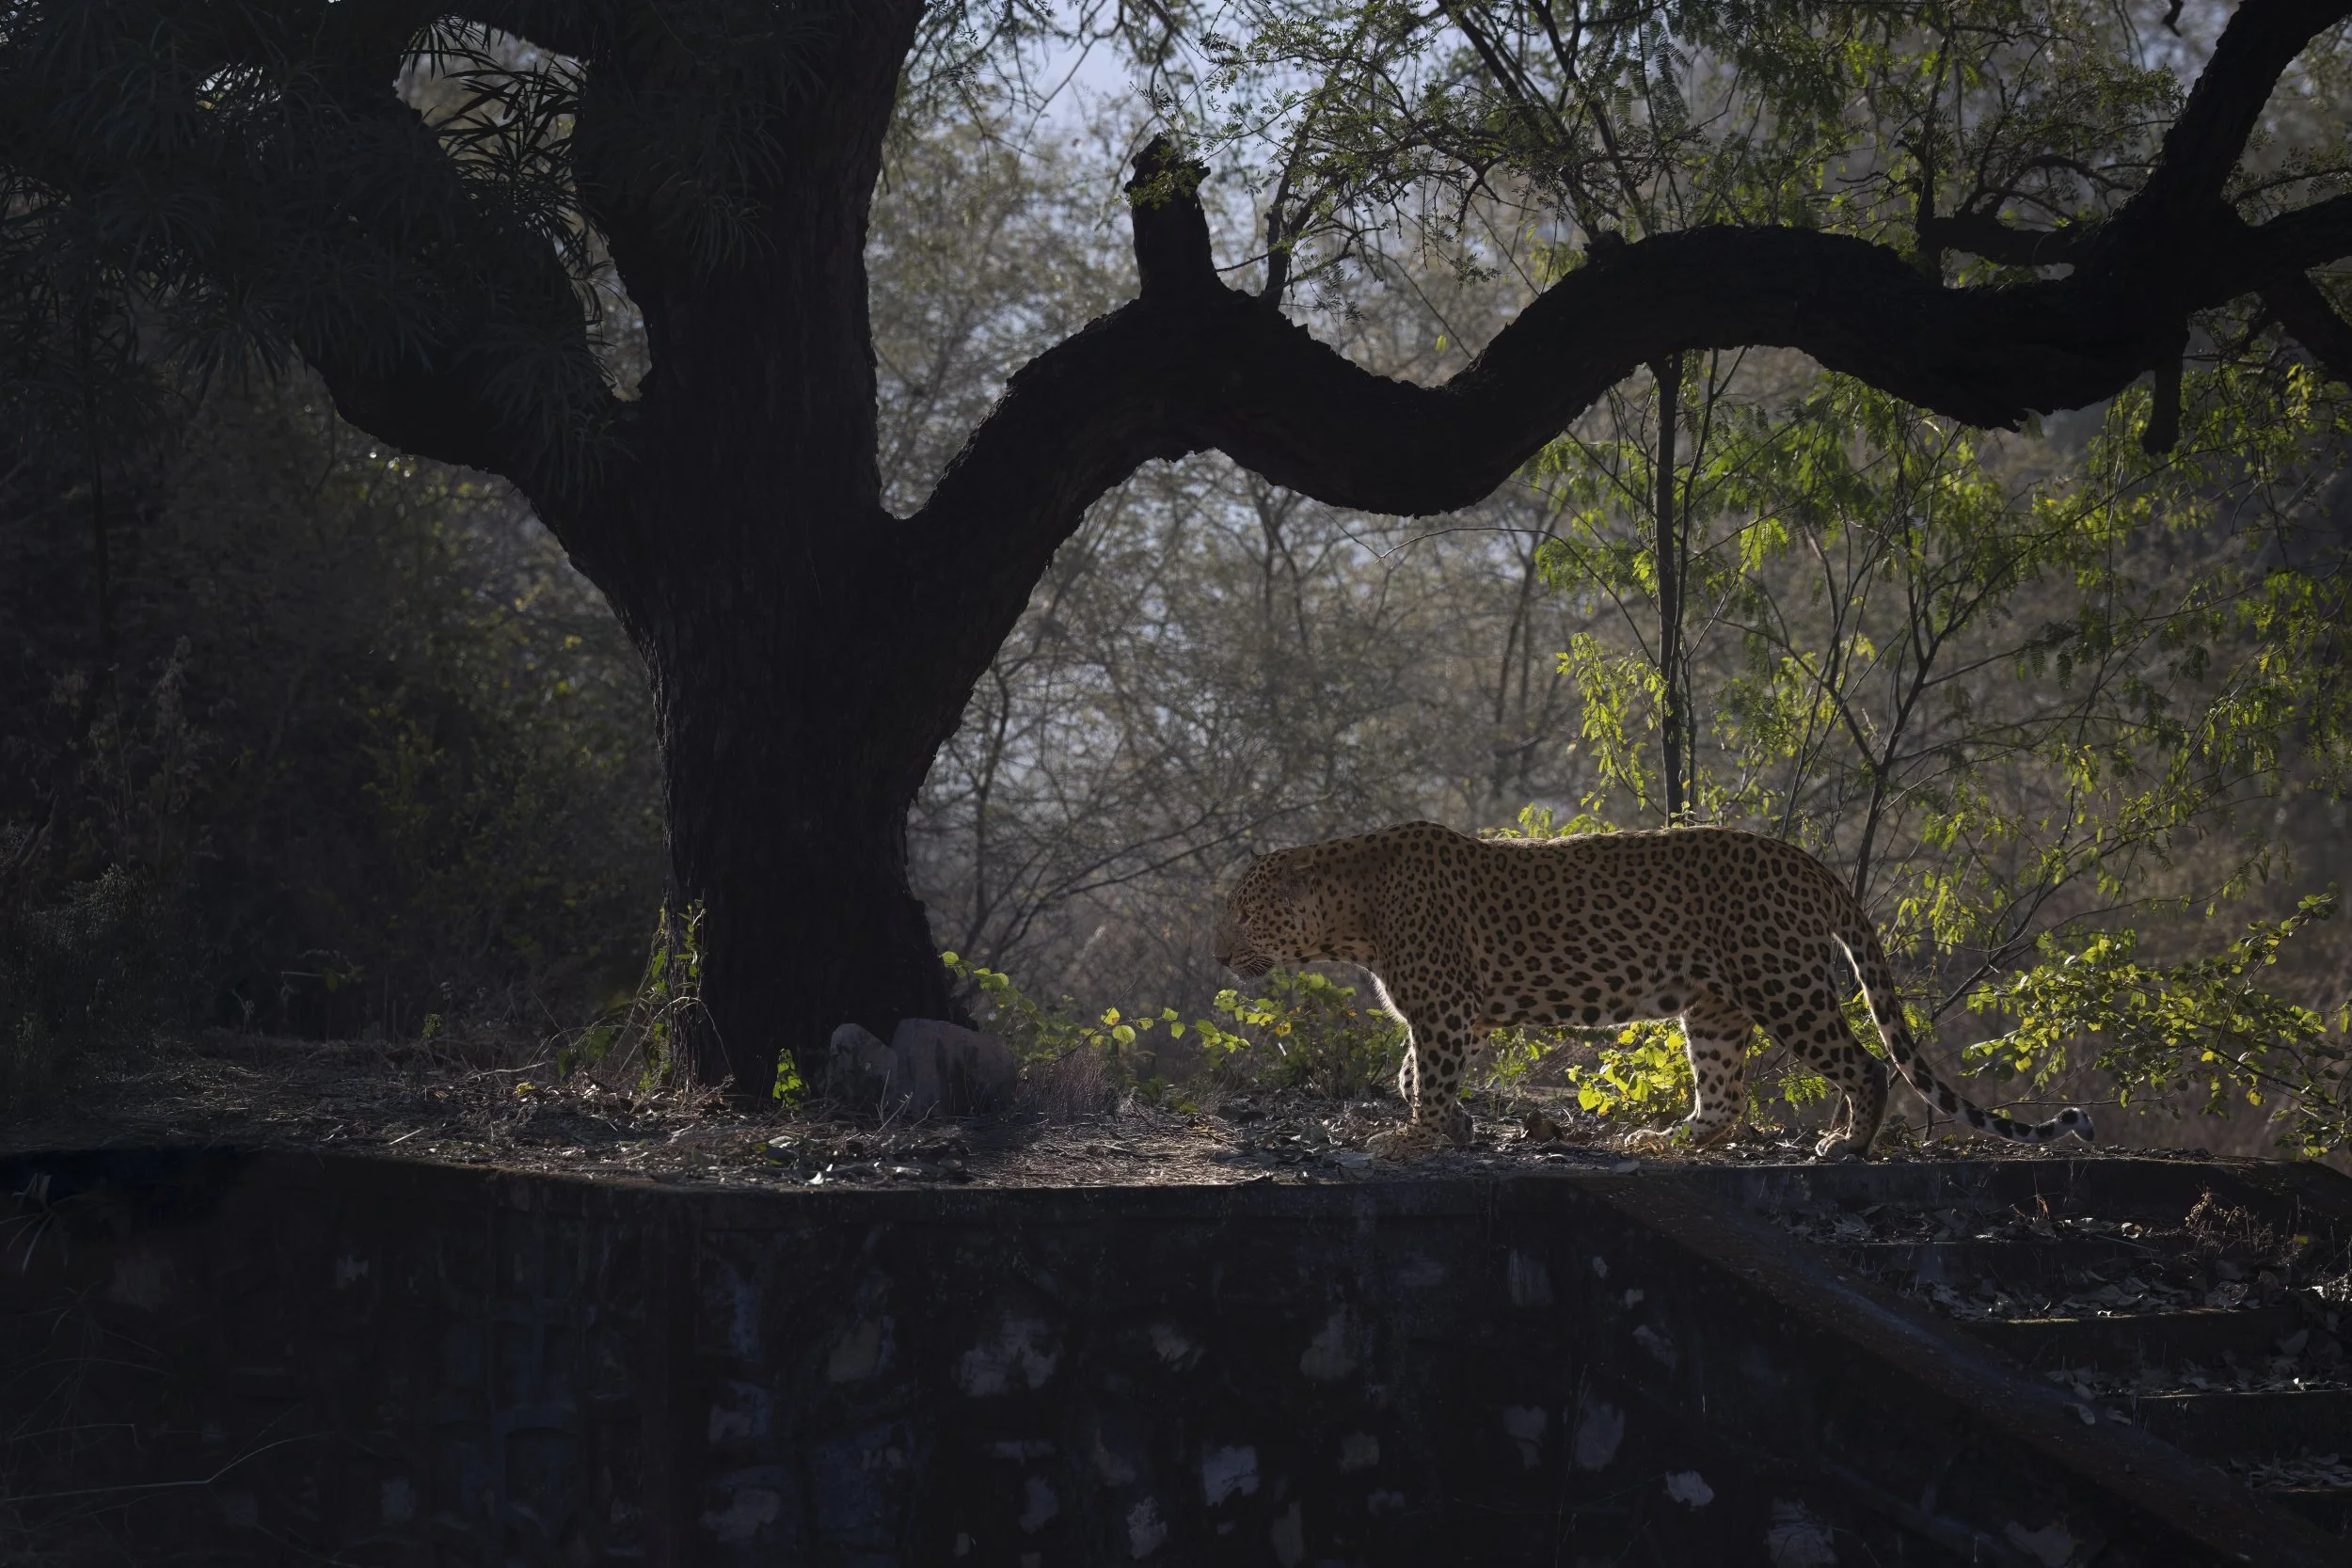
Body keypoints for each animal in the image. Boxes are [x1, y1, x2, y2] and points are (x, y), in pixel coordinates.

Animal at [1210, 820, 2093, 1161]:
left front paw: (1415, 1137)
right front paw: (1447, 1123)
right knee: (1725, 1095)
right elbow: (1412, 1071)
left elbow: (1425, 1075)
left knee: (1865, 1064)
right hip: (1715, 1008)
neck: (1351, 908)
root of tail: (1810, 862)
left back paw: (1844, 1144)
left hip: (1783, 984)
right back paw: (1672, 1138)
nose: (1219, 957)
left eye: (1243, 913)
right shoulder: (1466, 1010)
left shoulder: (1445, 1008)